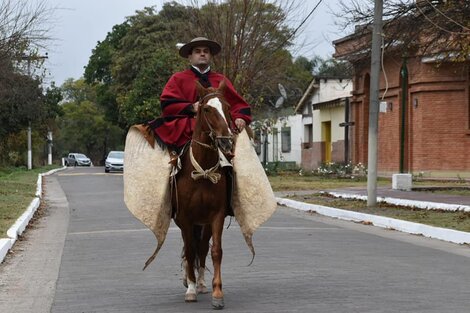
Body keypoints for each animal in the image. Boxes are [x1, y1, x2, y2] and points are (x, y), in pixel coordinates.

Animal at [173, 79, 235, 308]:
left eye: (227, 107)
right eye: (207, 109)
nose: (226, 140)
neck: (203, 172)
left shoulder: (215, 216)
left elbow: (215, 251)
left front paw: (217, 294)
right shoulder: (185, 218)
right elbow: (189, 251)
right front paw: (190, 289)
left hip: (204, 223)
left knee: (201, 248)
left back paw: (200, 283)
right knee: (189, 248)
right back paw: (189, 281)